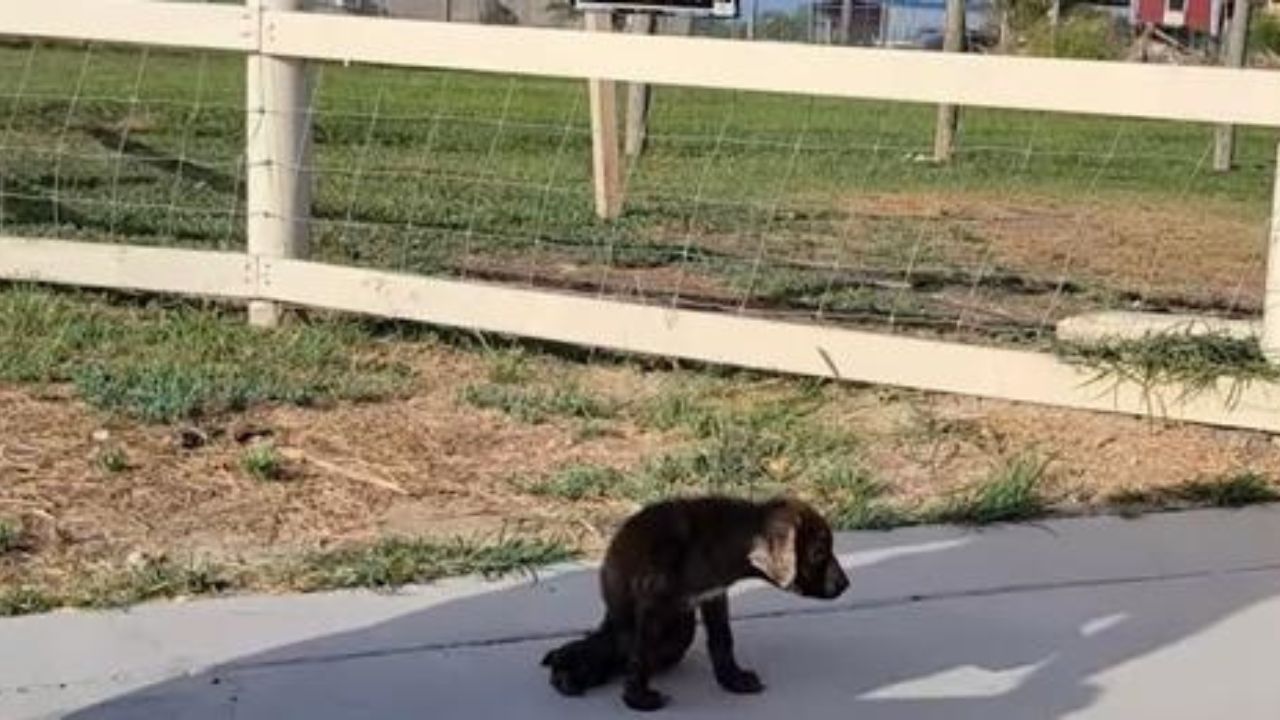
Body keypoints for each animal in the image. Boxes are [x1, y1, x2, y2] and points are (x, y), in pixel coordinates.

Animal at [540, 491, 849, 707]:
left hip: (680, 632)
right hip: (630, 625)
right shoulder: (651, 604)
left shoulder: (714, 596)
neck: (717, 542)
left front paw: (732, 680)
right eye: (819, 553)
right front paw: (639, 698)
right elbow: (640, 654)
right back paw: (568, 671)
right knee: (603, 647)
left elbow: (722, 641)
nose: (846, 584)